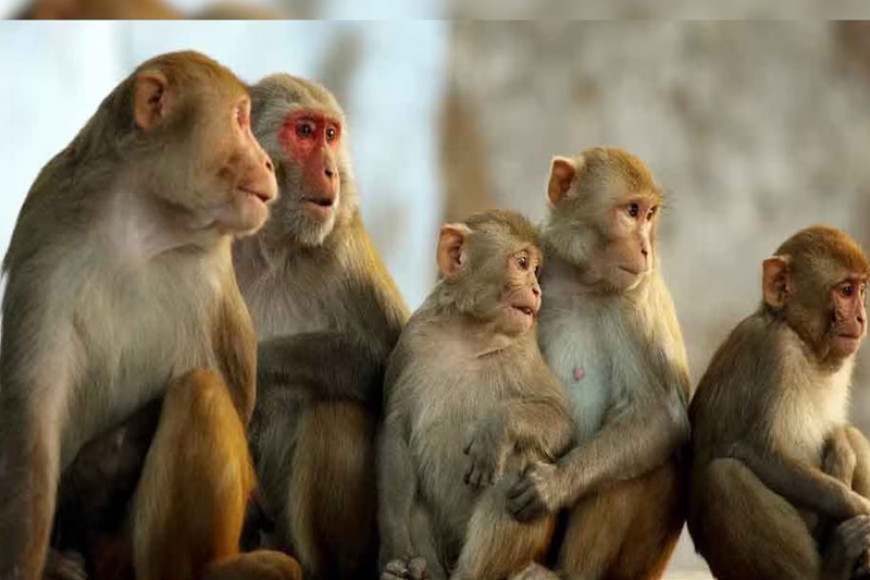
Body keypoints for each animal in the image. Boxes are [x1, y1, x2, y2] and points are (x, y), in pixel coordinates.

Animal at [0, 50, 300, 580]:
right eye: (239, 119)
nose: (268, 163)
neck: (145, 224)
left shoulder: (212, 274)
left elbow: (230, 391)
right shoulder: (47, 235)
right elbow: (33, 416)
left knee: (199, 391)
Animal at [229, 73, 410, 580]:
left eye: (331, 135)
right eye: (305, 132)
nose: (330, 171)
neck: (270, 246)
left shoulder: (344, 247)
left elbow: (393, 364)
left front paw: (258, 365)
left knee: (335, 411)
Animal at [378, 209, 575, 580]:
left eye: (536, 270)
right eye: (523, 263)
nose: (536, 289)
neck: (470, 336)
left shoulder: (524, 352)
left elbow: (561, 423)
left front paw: (496, 428)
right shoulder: (412, 340)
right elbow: (395, 432)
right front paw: (396, 551)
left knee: (517, 459)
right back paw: (418, 572)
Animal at [503, 147, 690, 580]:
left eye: (650, 214)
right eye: (632, 210)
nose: (645, 248)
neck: (582, 281)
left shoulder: (638, 300)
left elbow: (662, 414)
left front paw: (554, 484)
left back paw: (567, 574)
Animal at [687, 225, 870, 580]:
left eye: (861, 290)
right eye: (845, 290)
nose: (861, 317)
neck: (802, 341)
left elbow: (841, 433)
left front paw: (841, 449)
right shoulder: (774, 351)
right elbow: (757, 453)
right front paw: (863, 507)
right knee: (725, 477)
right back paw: (835, 565)